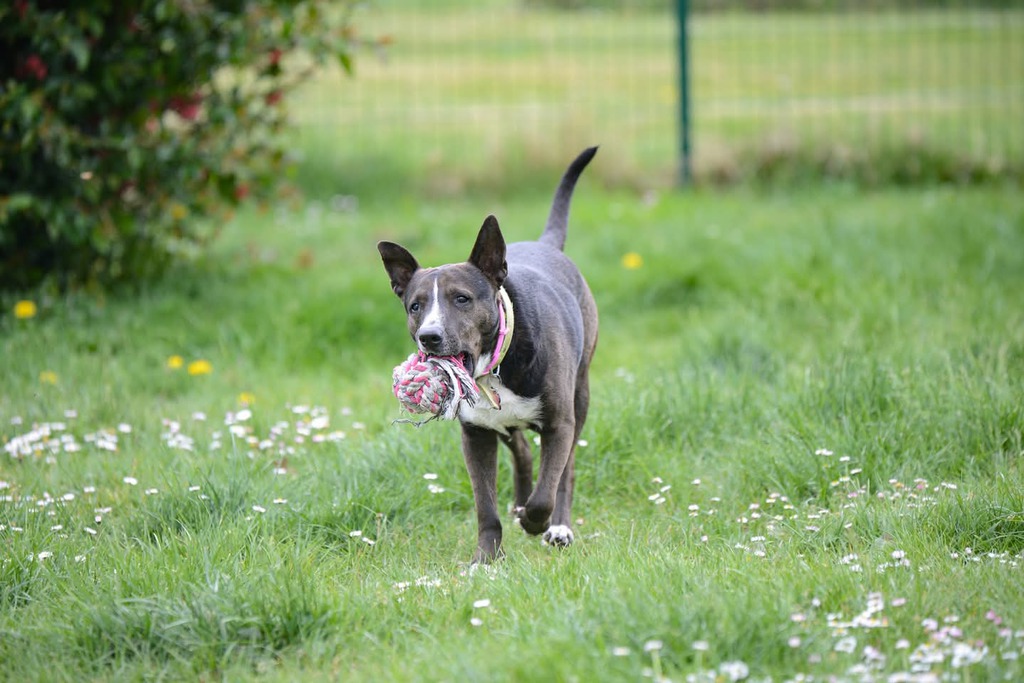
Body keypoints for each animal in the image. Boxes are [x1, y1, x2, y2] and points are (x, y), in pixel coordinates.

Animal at [378, 147, 599, 563]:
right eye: (415, 306)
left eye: (461, 299)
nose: (429, 337)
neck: (493, 366)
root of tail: (547, 245)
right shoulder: (476, 433)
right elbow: (485, 504)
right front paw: (486, 559)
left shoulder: (559, 423)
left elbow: (548, 488)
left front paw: (536, 521)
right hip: (504, 423)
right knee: (523, 450)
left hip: (581, 390)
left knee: (565, 470)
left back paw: (558, 527)